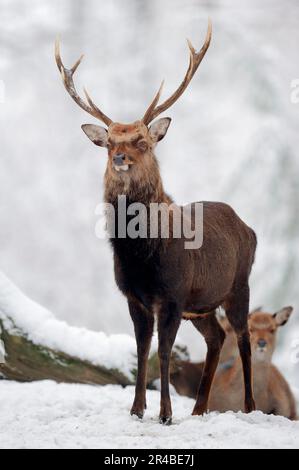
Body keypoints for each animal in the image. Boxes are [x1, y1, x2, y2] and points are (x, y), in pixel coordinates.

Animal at [55, 22, 258, 424]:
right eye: (108, 142)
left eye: (143, 141)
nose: (120, 158)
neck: (142, 256)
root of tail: (249, 228)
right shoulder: (135, 297)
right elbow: (140, 351)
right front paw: (136, 409)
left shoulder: (173, 295)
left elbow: (163, 351)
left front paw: (164, 413)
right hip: (203, 304)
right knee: (216, 337)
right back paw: (198, 408)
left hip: (239, 285)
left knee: (242, 338)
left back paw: (249, 406)